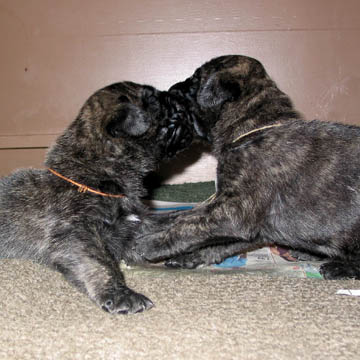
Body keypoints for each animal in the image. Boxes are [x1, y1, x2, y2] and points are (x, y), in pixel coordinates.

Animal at [0, 81, 194, 312]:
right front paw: (120, 294)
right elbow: (102, 264)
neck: (95, 172)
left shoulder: (133, 227)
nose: (181, 100)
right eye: (160, 105)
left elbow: (169, 222)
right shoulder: (77, 234)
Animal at [136, 54, 360, 280]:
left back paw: (338, 267)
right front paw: (151, 226)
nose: (171, 89)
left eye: (196, 79)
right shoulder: (246, 220)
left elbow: (190, 226)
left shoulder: (235, 212)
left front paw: (150, 243)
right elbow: (190, 219)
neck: (254, 128)